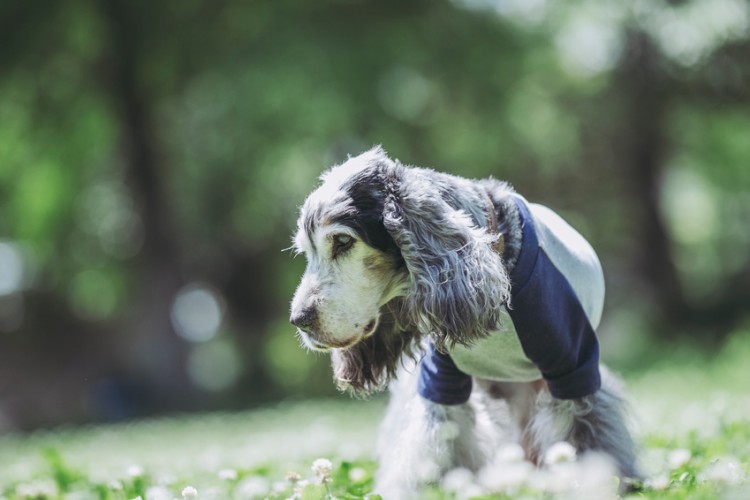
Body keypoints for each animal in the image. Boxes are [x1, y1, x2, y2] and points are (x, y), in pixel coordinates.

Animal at [290, 146, 636, 498]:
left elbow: (585, 438)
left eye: (343, 241)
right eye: (306, 252)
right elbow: (436, 440)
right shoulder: (441, 378)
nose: (298, 319)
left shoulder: (574, 368)